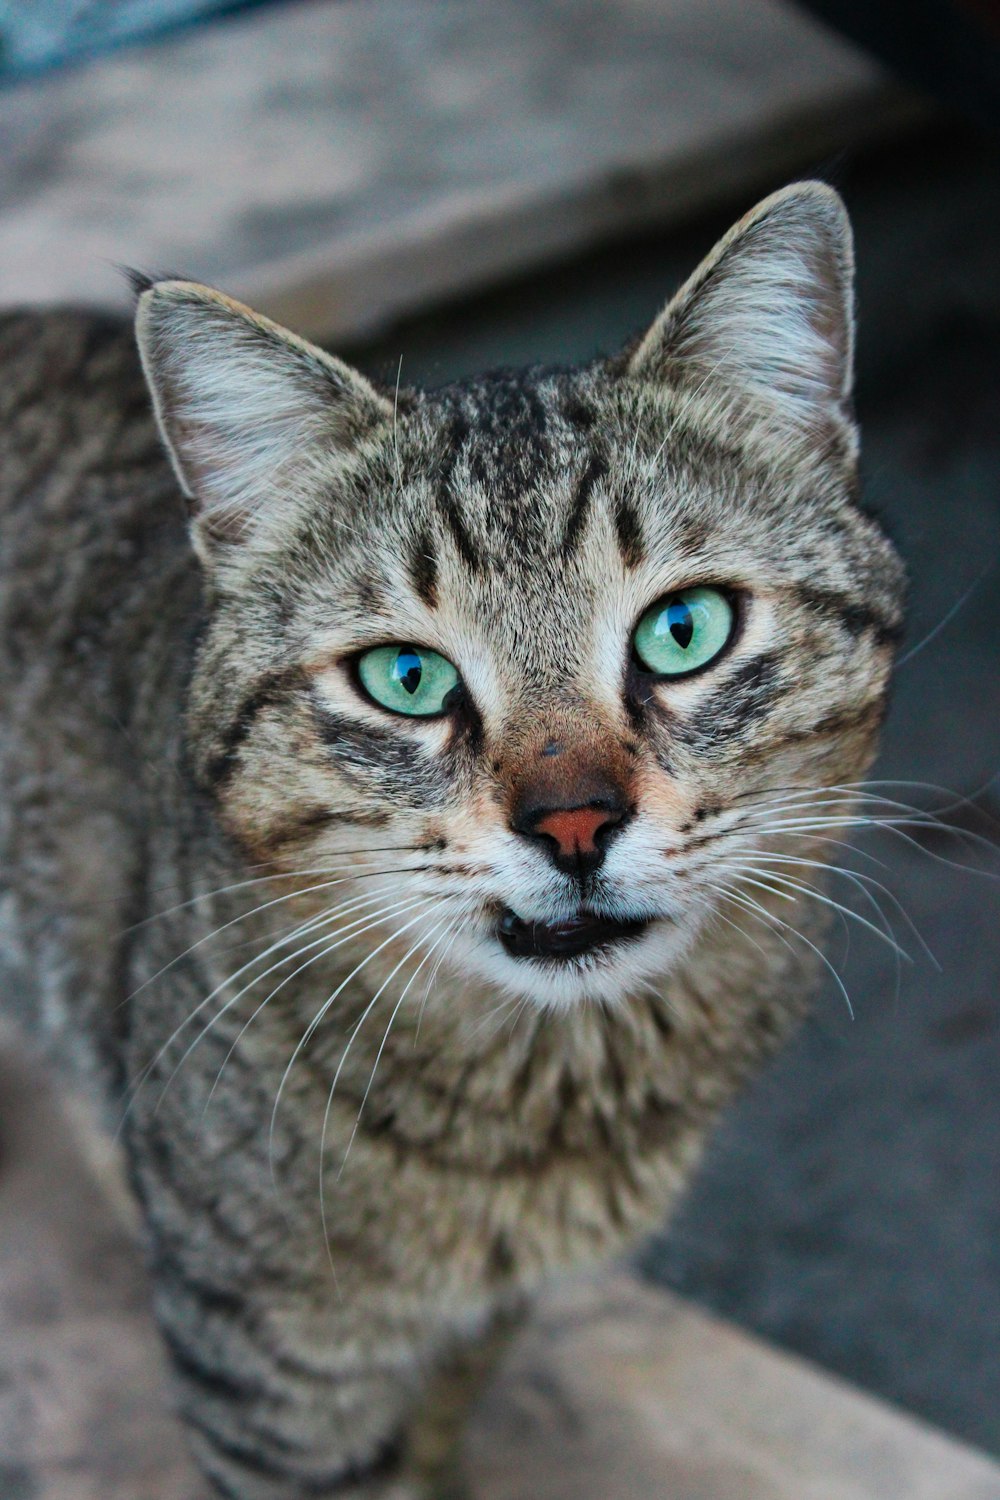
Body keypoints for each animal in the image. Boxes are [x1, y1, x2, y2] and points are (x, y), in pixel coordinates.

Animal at [0, 181, 905, 1494]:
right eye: (406, 678)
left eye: (683, 630)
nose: (573, 823)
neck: (547, 1111)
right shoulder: (266, 1376)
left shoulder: (474, 1322)